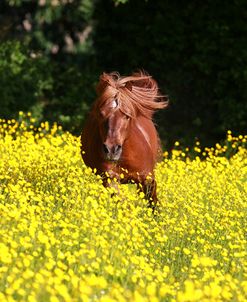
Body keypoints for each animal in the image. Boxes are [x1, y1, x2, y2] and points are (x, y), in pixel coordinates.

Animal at [81, 71, 168, 208]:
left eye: (127, 116)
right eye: (101, 114)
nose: (111, 150)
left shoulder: (147, 179)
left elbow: (153, 202)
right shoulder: (110, 179)